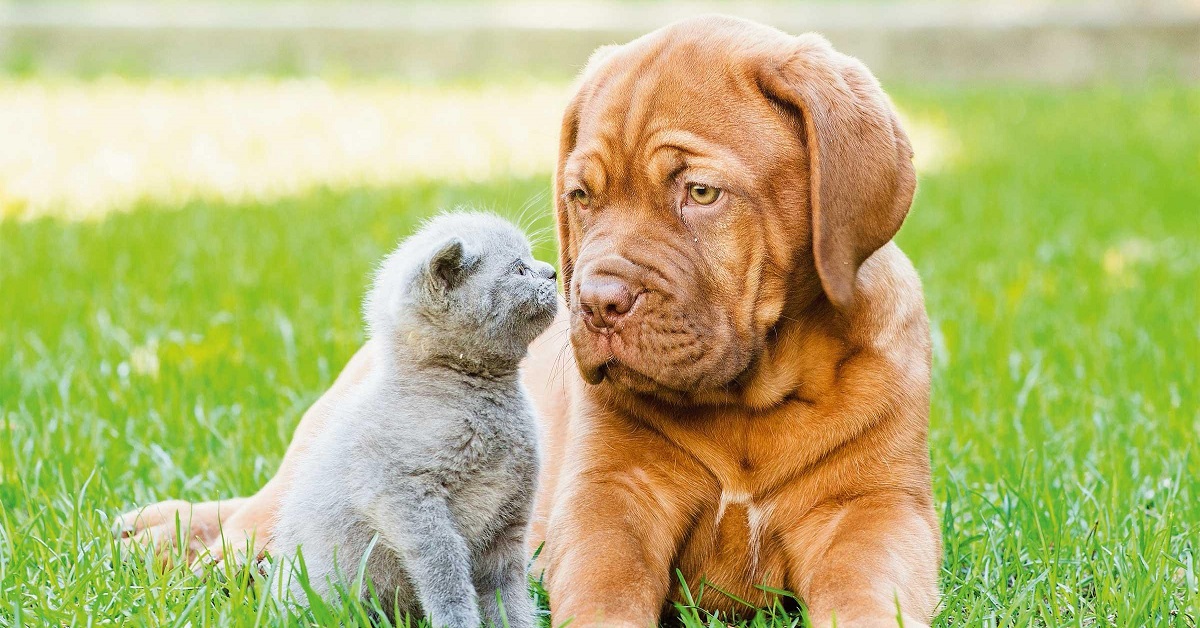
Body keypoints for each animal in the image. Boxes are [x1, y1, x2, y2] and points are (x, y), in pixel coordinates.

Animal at [272, 212, 556, 628]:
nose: (552, 272)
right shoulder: (401, 495)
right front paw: (457, 621)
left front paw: (516, 623)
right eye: (519, 269)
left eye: (532, 260)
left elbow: (506, 588)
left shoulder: (509, 513)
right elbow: (445, 568)